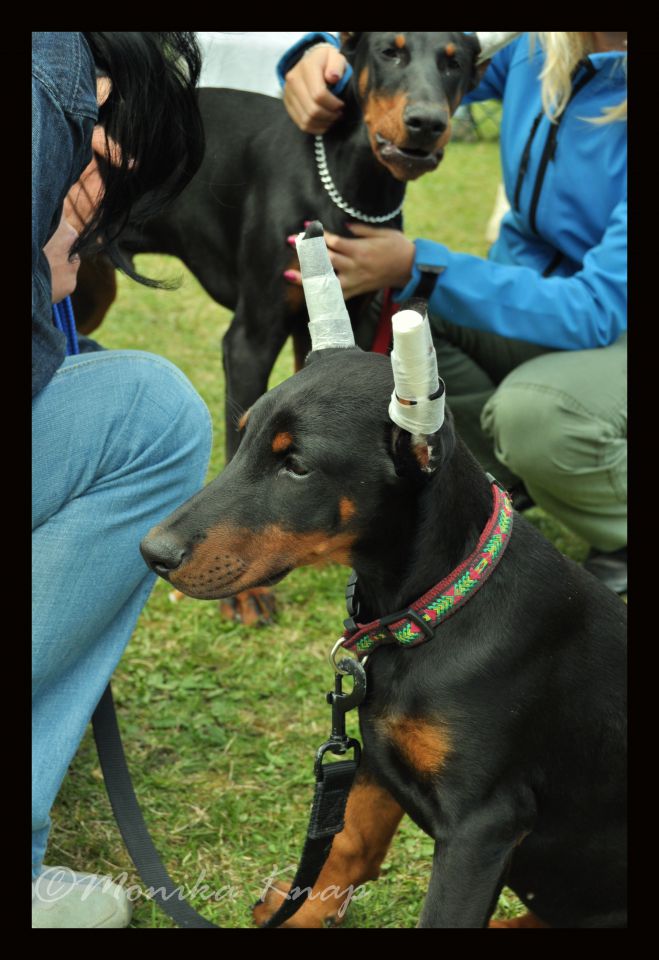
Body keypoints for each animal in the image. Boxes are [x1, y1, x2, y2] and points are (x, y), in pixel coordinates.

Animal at [143, 288, 628, 928]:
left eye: (296, 465)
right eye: (241, 438)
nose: (152, 551)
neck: (436, 611)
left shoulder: (483, 824)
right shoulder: (371, 754)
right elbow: (348, 848)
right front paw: (300, 912)